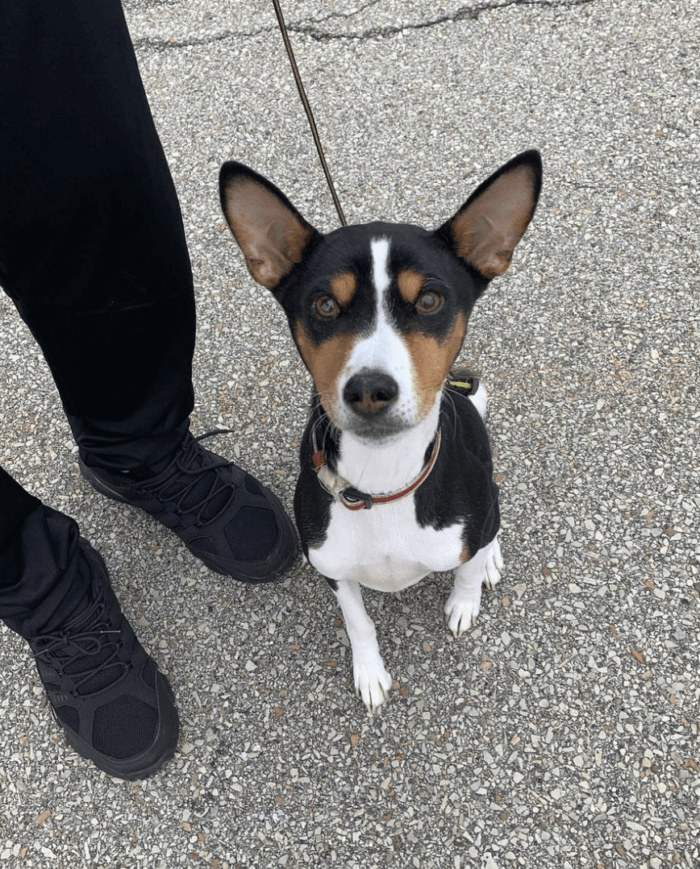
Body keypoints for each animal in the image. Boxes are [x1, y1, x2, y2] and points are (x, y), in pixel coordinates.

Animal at [219, 153, 540, 712]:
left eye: (430, 300)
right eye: (325, 306)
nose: (370, 389)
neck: (385, 483)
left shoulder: (467, 529)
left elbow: (466, 568)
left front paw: (465, 599)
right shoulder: (333, 569)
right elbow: (358, 623)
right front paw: (370, 673)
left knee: (492, 519)